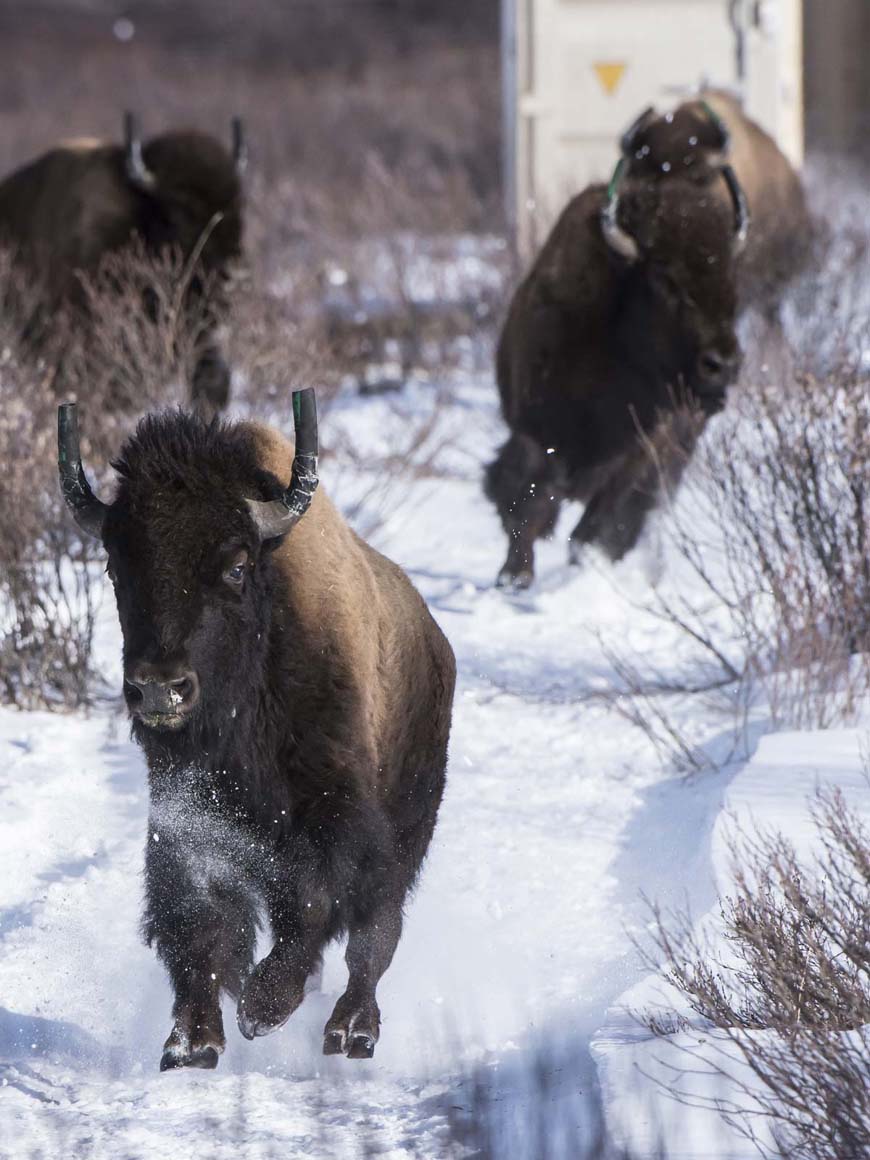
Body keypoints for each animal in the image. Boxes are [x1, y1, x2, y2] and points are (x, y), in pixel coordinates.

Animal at [59, 389, 457, 1067]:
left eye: (238, 566)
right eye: (114, 565)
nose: (159, 688)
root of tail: (436, 641)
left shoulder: (334, 817)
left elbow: (318, 904)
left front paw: (262, 1009)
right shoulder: (188, 820)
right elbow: (198, 919)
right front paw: (191, 1042)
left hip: (408, 827)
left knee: (374, 936)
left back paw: (352, 1032)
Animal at [491, 91, 812, 584]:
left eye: (730, 276)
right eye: (664, 277)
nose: (723, 363)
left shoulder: (648, 447)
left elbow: (603, 520)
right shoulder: (532, 424)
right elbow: (523, 496)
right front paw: (514, 577)